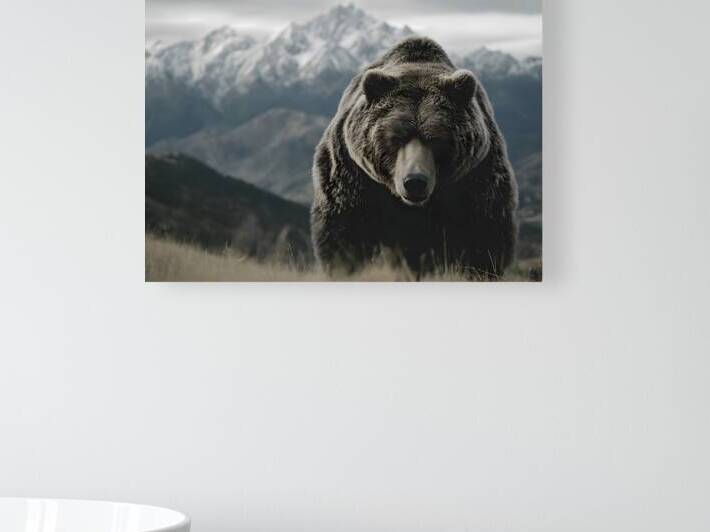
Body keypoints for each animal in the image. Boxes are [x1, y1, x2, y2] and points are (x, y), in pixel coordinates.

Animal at [311, 37, 518, 279]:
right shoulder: (352, 175)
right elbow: (345, 233)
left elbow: (482, 238)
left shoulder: (478, 177)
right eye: (395, 138)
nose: (415, 182)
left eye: (437, 140)